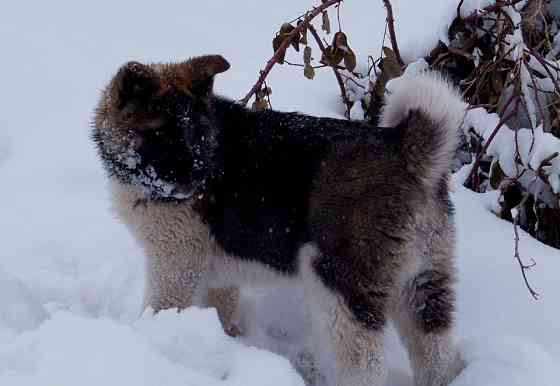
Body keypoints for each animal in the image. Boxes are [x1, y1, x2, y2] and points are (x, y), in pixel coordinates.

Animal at [92, 55, 466, 386]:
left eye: (196, 133)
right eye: (160, 134)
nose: (200, 178)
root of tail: (408, 152)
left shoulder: (175, 261)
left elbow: (163, 308)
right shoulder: (215, 272)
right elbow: (222, 309)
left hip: (341, 285)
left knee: (365, 364)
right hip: (424, 279)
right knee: (435, 351)